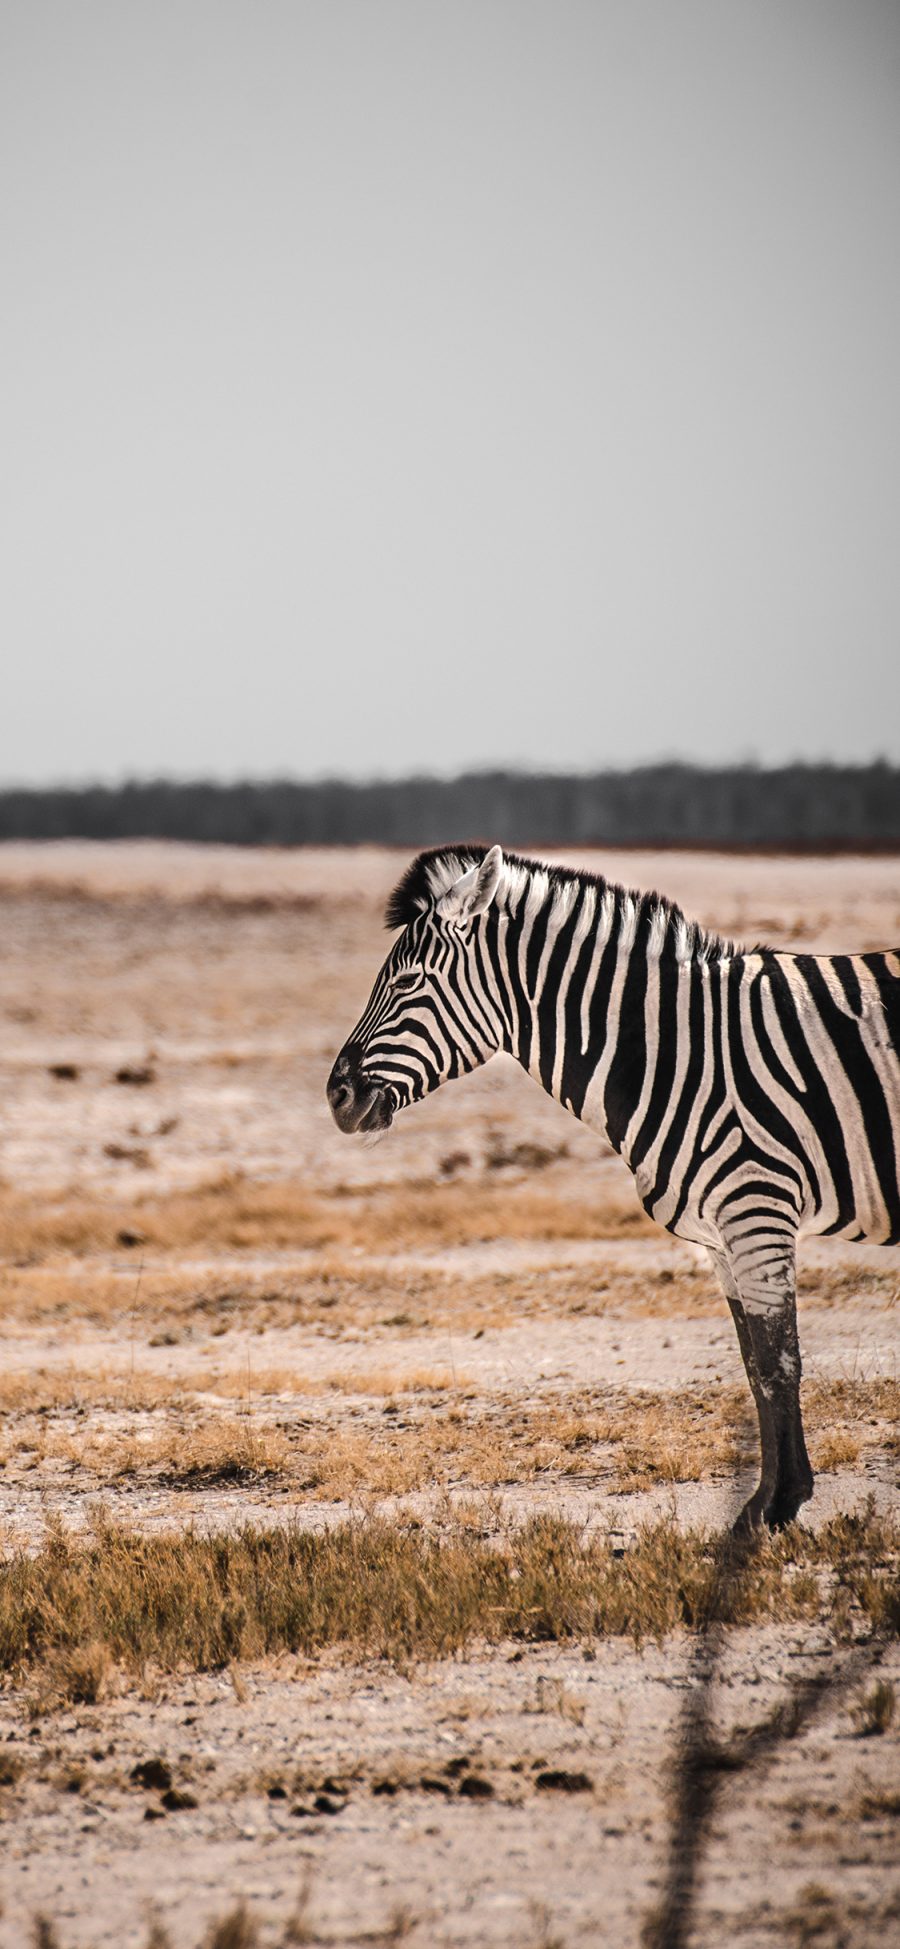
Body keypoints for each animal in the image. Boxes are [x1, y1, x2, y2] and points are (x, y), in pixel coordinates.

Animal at [329, 845, 900, 1528]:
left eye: (408, 983)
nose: (336, 1096)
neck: (679, 1050)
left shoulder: (756, 1210)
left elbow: (777, 1362)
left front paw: (782, 1504)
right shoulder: (722, 1237)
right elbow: (754, 1367)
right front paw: (764, 1501)